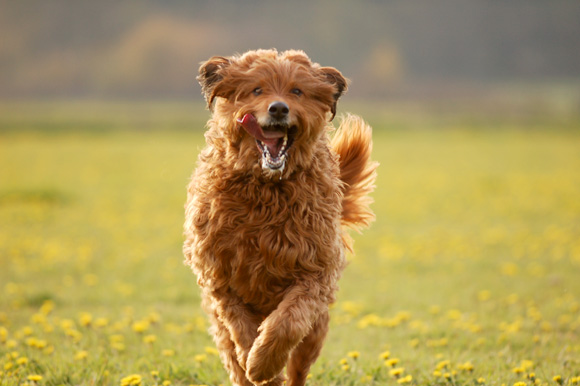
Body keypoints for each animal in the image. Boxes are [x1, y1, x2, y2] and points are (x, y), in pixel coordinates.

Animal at [184, 49, 378, 386]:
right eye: (257, 90)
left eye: (296, 91)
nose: (278, 108)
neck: (266, 189)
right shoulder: (222, 280)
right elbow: (241, 330)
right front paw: (257, 363)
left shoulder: (314, 273)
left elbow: (288, 322)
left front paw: (264, 362)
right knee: (233, 357)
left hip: (316, 329)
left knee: (299, 365)